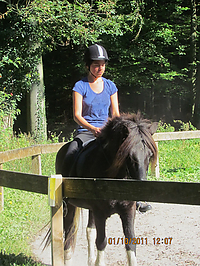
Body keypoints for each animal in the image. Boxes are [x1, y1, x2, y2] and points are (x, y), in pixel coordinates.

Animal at [55, 112, 157, 266]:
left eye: (149, 155)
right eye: (129, 156)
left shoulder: (128, 211)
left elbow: (131, 243)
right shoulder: (100, 213)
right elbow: (101, 242)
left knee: (89, 230)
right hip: (69, 206)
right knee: (68, 231)